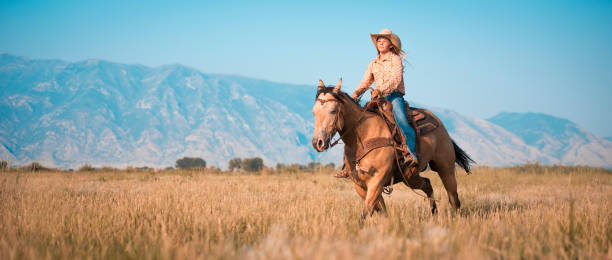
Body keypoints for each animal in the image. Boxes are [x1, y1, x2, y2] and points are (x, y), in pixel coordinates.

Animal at [310, 78, 474, 219]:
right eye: (314, 112)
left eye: (332, 110)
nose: (317, 142)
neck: (364, 134)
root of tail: (439, 122)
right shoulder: (360, 185)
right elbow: (379, 209)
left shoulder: (377, 180)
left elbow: (366, 212)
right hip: (410, 176)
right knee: (427, 184)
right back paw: (434, 214)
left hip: (445, 168)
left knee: (453, 197)